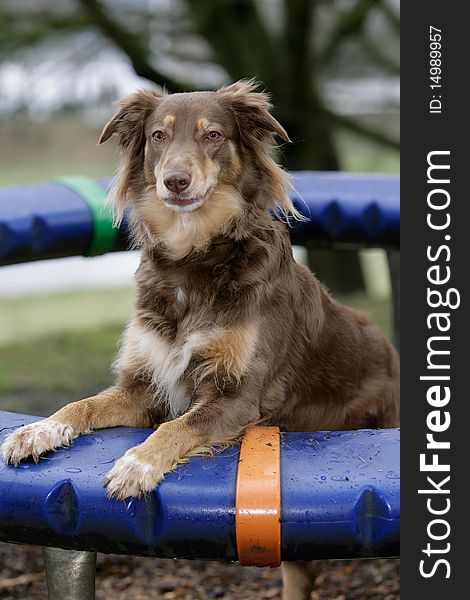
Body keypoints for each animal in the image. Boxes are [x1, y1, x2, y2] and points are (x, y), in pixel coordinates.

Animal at [1, 81, 398, 600]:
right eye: (158, 136)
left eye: (213, 135)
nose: (175, 181)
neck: (194, 258)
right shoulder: (143, 386)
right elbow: (81, 405)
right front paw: (37, 431)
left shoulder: (238, 397)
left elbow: (177, 426)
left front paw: (136, 463)